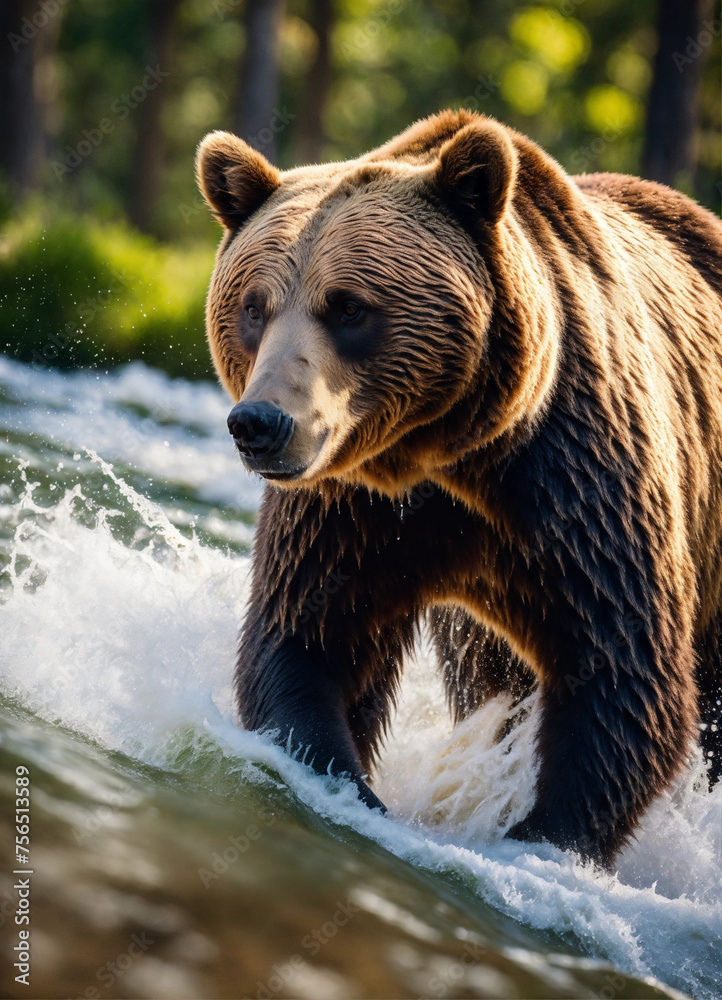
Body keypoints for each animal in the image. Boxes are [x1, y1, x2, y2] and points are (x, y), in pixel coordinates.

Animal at [196, 110, 722, 867]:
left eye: (347, 307)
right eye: (254, 306)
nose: (260, 423)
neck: (447, 452)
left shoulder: (578, 481)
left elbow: (621, 668)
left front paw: (541, 835)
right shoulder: (350, 505)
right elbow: (310, 634)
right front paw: (342, 781)